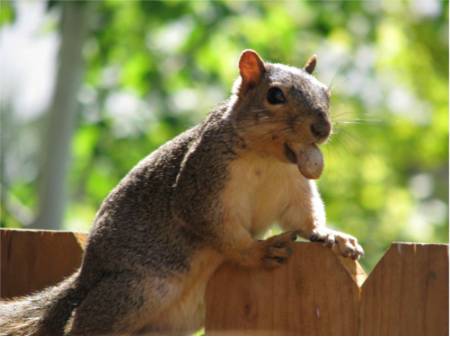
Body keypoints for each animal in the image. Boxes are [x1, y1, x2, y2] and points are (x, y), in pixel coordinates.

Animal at [0, 49, 364, 334]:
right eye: (275, 96)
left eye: (327, 94)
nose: (322, 128)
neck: (268, 159)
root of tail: (85, 276)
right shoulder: (201, 184)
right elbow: (219, 230)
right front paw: (258, 251)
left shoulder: (293, 188)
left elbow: (304, 216)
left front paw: (331, 236)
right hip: (134, 290)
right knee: (85, 322)